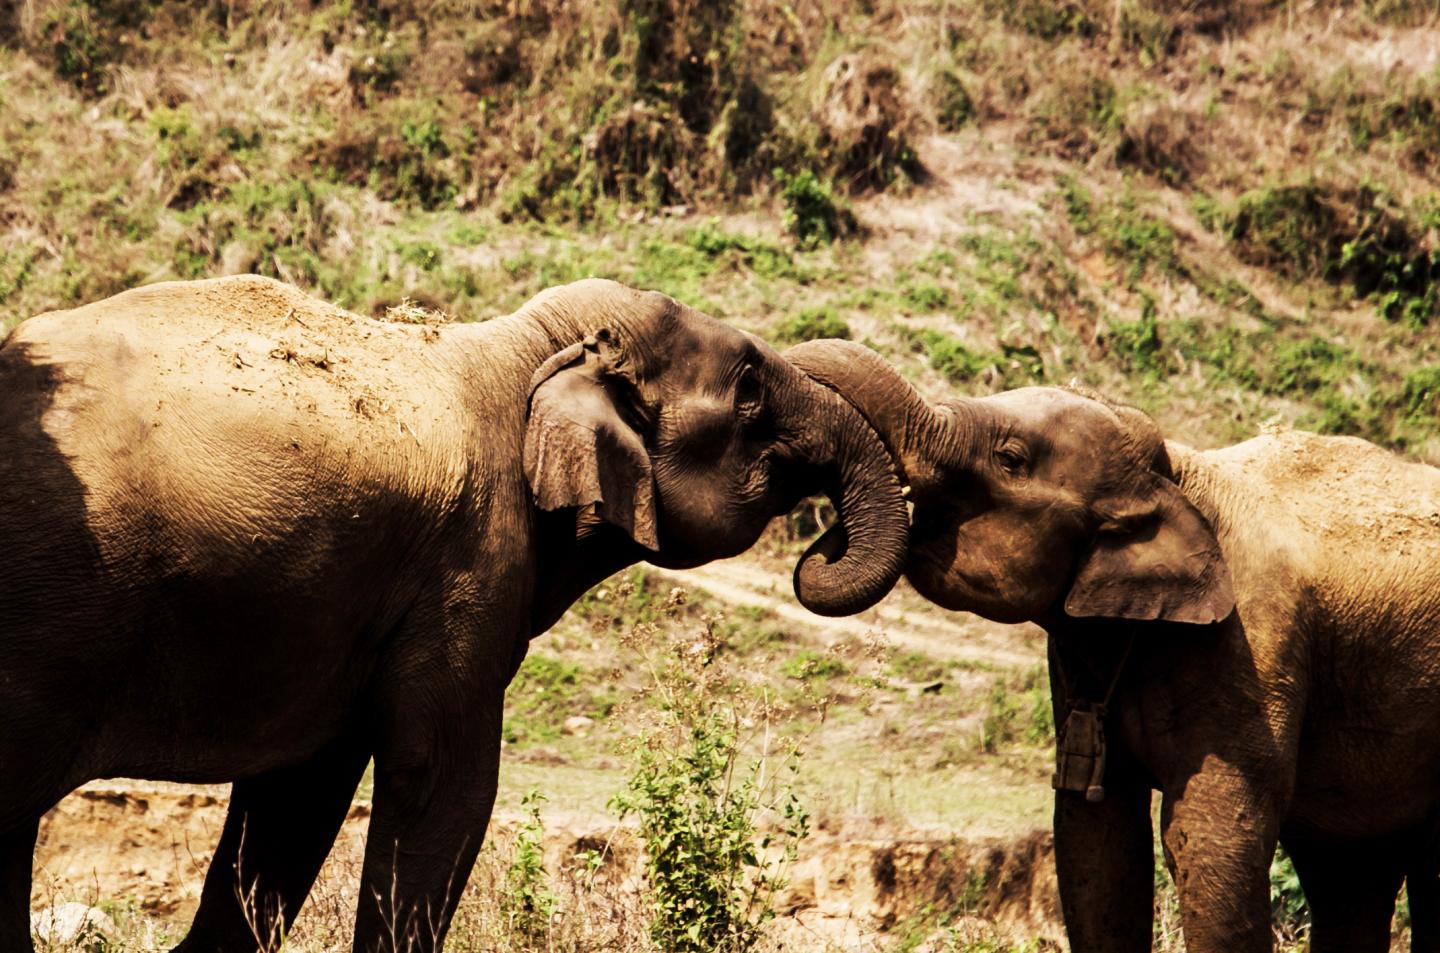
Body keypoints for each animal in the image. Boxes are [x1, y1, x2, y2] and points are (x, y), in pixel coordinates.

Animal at [0, 275, 909, 953]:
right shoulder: (472, 558)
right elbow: (447, 780)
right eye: (750, 389)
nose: (819, 545)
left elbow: (297, 793)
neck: (526, 346)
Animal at [785, 339, 1440, 953]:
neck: (1176, 474)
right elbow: (1095, 834)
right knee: (1350, 872)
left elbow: (1209, 832)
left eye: (1010, 459)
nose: (827, 529)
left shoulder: (1255, 643)